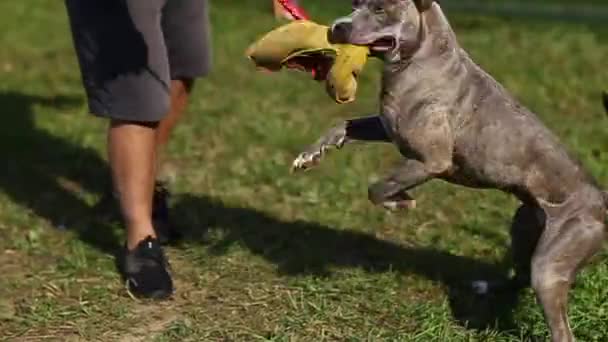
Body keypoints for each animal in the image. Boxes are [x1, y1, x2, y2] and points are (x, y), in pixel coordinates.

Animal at [292, 1, 604, 340]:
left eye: (380, 8)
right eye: (354, 5)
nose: (337, 27)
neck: (422, 61)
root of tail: (601, 201)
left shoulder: (432, 161)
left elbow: (378, 187)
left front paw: (401, 202)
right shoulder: (386, 128)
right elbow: (343, 125)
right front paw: (310, 155)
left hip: (550, 267)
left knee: (560, 326)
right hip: (524, 227)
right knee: (520, 275)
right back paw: (485, 288)